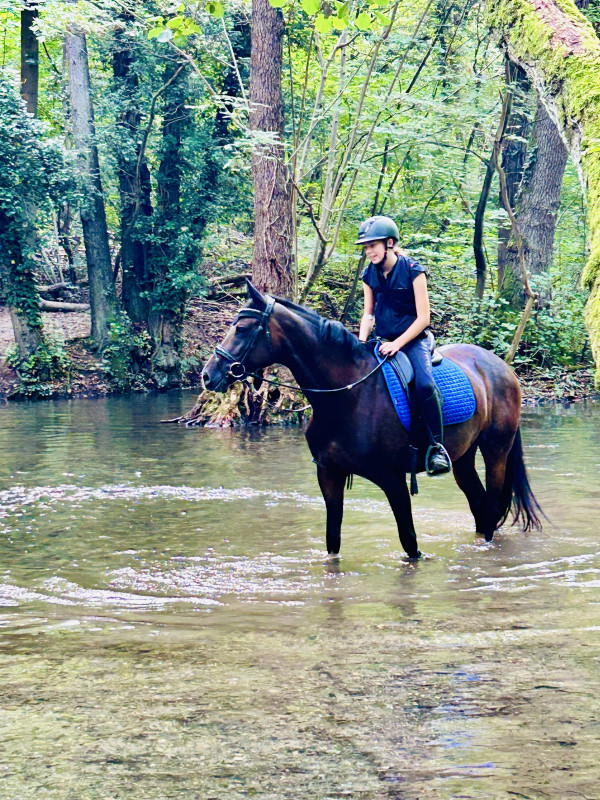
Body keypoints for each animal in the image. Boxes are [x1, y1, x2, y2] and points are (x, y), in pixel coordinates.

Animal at [201, 280, 543, 560]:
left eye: (242, 328)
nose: (208, 375)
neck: (347, 395)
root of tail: (502, 367)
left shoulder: (392, 479)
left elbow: (410, 543)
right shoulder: (329, 474)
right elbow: (333, 541)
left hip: (496, 450)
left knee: (492, 505)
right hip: (463, 457)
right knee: (479, 505)